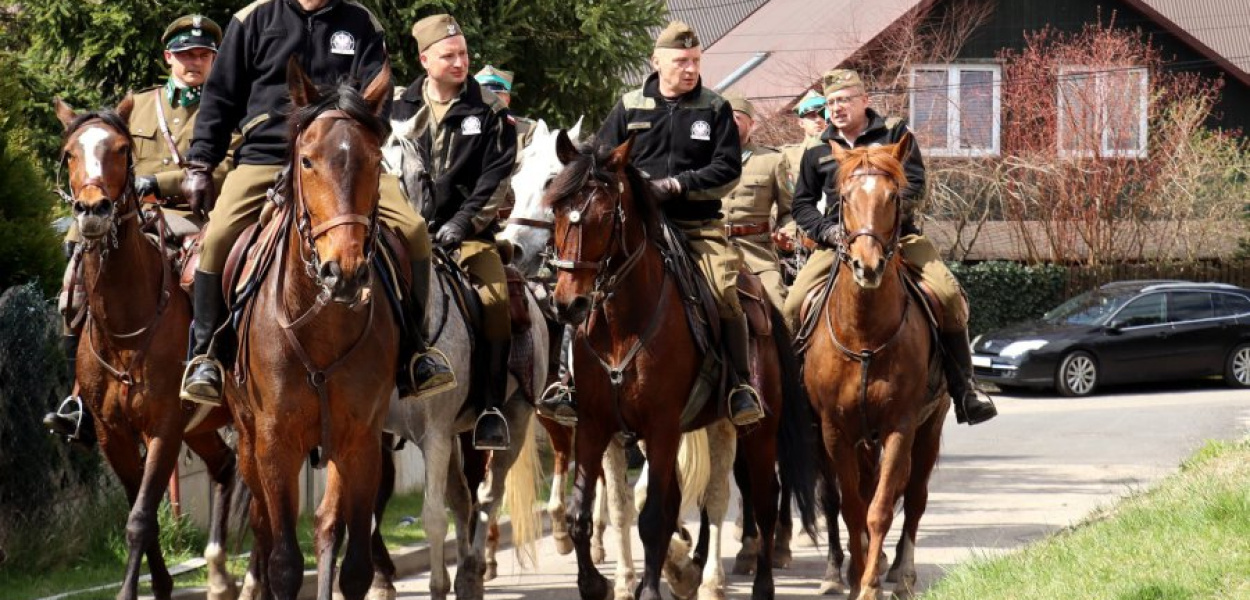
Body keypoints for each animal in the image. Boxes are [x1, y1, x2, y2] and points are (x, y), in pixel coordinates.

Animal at [51, 98, 236, 600]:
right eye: (70, 153)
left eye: (120, 149)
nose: (93, 209)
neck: (125, 330)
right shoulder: (113, 434)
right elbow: (140, 509)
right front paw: (162, 583)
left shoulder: (164, 429)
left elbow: (139, 518)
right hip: (202, 427)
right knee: (226, 466)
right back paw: (219, 575)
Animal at [222, 59, 397, 600]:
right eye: (307, 161)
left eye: (376, 161)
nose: (345, 272)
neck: (323, 322)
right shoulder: (275, 443)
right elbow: (283, 562)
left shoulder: (361, 440)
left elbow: (353, 562)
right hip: (247, 439)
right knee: (262, 526)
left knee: (325, 525)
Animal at [380, 99, 547, 600]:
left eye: (418, 176)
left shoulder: (435, 435)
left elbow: (434, 516)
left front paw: (441, 583)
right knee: (464, 498)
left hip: (510, 419)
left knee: (488, 497)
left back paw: (472, 571)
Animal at [545, 133, 815, 600]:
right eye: (558, 211)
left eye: (604, 217)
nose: (568, 304)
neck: (621, 325)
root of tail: (760, 292)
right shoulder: (597, 425)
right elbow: (586, 512)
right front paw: (597, 582)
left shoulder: (661, 426)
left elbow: (655, 517)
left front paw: (652, 587)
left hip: (755, 431)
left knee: (758, 499)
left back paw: (754, 580)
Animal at [800, 132, 945, 600]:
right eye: (844, 197)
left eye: (893, 196)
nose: (868, 265)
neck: (864, 335)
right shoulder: (833, 431)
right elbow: (850, 506)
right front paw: (855, 575)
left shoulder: (901, 425)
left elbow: (880, 508)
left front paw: (868, 585)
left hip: (930, 425)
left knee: (913, 496)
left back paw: (903, 571)